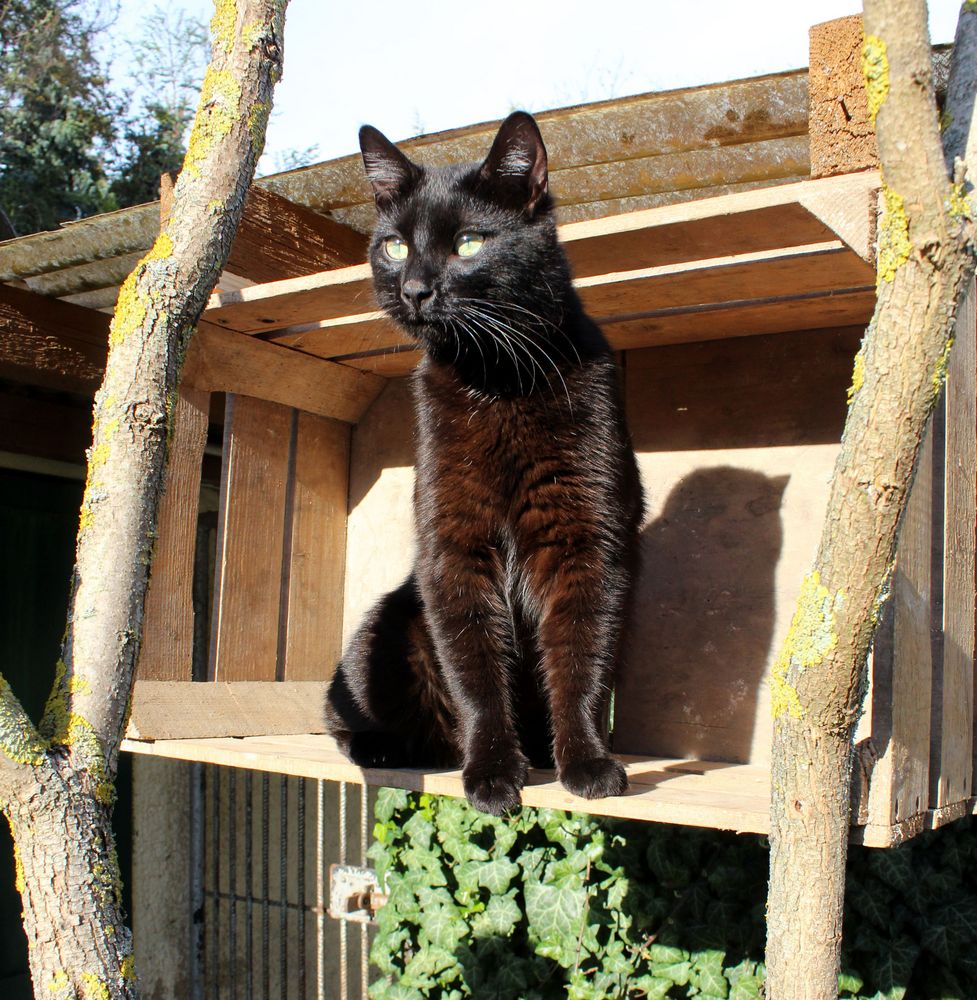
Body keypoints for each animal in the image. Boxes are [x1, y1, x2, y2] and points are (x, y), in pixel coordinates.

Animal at [324, 111, 644, 812]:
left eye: (469, 243)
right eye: (394, 246)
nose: (415, 288)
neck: (497, 380)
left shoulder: (588, 543)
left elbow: (582, 658)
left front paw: (586, 762)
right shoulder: (454, 547)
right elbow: (474, 669)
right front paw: (494, 773)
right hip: (381, 635)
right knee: (341, 716)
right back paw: (388, 748)